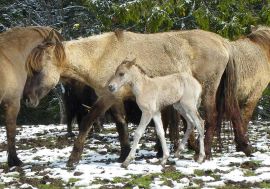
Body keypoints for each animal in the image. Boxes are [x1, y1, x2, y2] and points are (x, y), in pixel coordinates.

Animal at [24, 28, 245, 167]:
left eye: (38, 70)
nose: (27, 99)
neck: (100, 56)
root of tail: (222, 42)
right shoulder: (115, 98)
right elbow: (121, 124)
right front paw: (124, 154)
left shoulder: (107, 96)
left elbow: (87, 122)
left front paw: (73, 159)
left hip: (206, 92)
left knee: (209, 118)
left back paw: (204, 153)